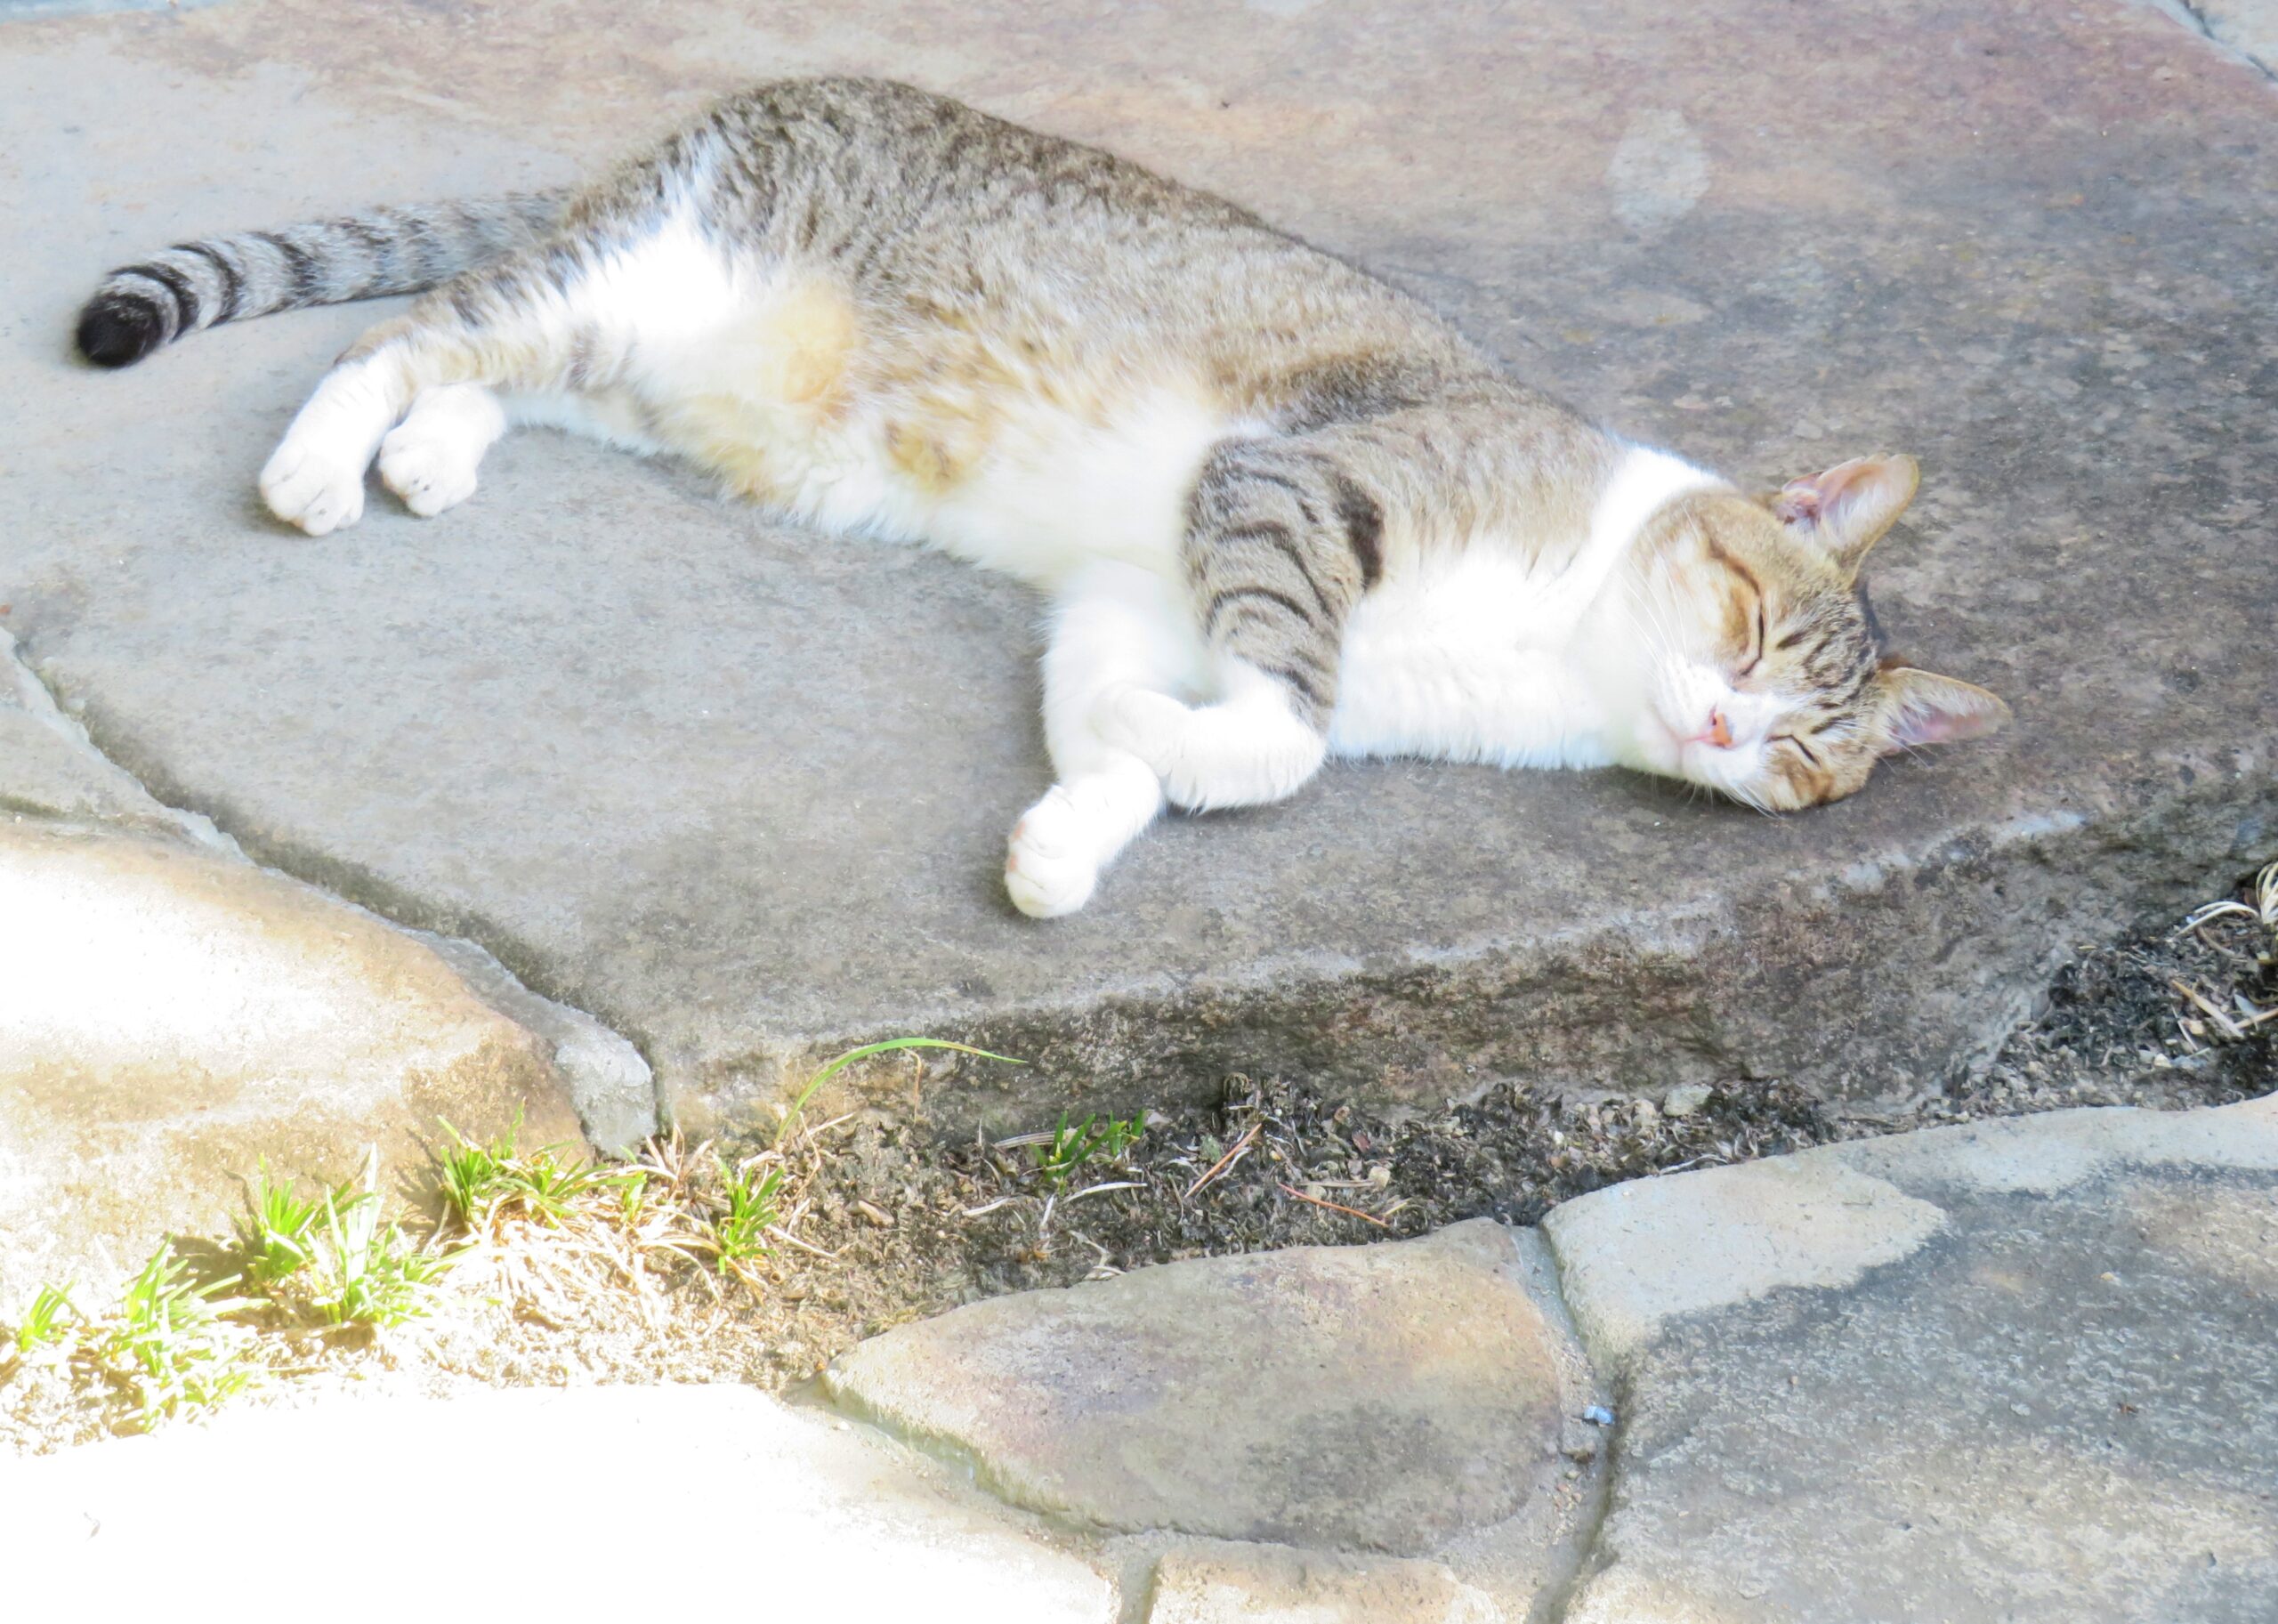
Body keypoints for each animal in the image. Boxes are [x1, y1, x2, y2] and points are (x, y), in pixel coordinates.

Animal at [71, 78, 2004, 910]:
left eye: (1810, 754)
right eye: (1746, 624)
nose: (1723, 727)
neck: (1561, 654)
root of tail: (711, 105)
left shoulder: (1137, 596)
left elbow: (1153, 736)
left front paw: (1076, 827)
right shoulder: (1287, 482)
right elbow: (1286, 737)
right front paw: (1175, 762)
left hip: (654, 374)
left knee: (481, 374)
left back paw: (431, 457)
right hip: (637, 279)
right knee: (402, 334)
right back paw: (327, 461)